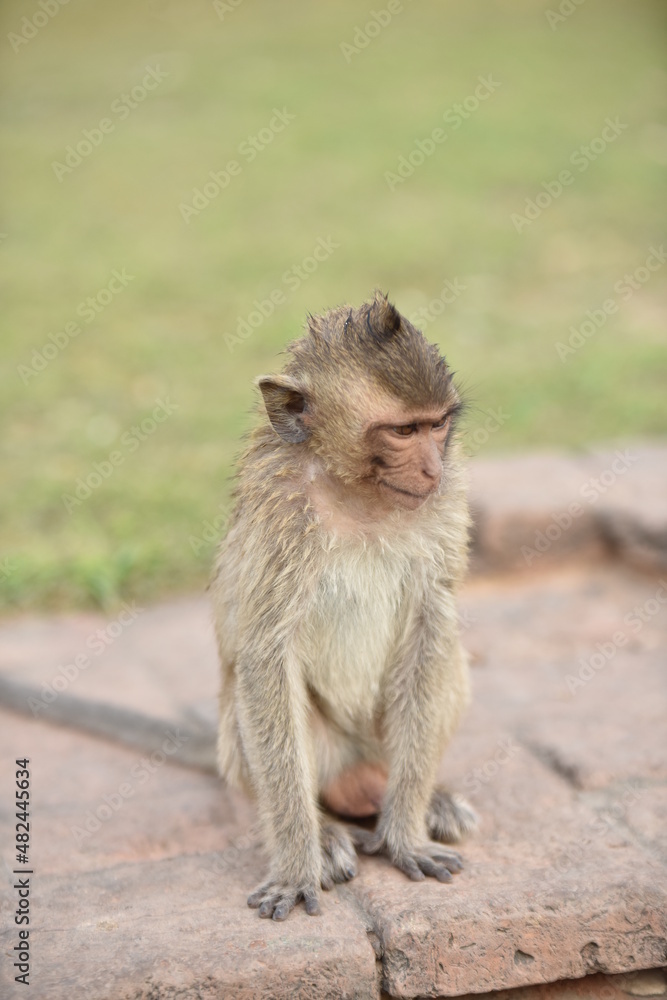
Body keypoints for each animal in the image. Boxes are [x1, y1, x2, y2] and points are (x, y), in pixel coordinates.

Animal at [211, 292, 478, 920]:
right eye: (403, 430)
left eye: (438, 425)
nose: (431, 467)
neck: (358, 493)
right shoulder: (279, 511)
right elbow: (265, 656)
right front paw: (296, 865)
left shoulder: (448, 500)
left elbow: (432, 627)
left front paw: (406, 836)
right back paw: (327, 831)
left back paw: (425, 800)